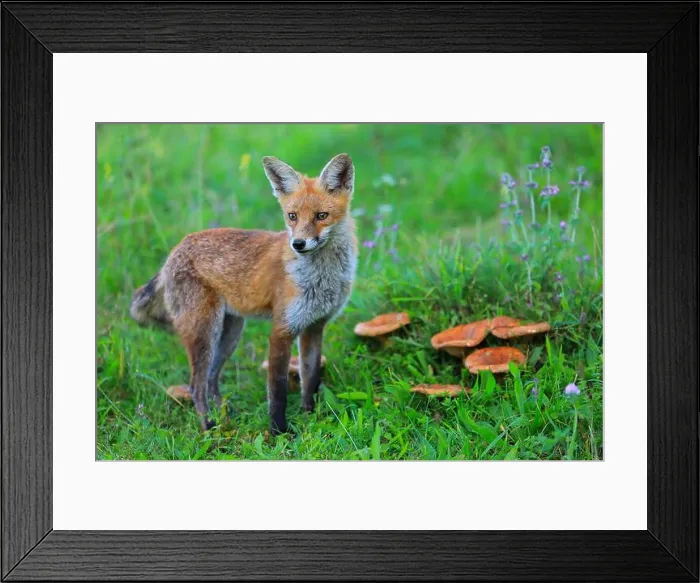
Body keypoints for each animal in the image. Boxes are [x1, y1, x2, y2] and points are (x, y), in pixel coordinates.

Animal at [129, 153, 358, 434]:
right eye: (292, 216)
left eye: (321, 215)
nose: (298, 244)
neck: (321, 278)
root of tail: (172, 254)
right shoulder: (282, 329)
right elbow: (278, 390)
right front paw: (279, 432)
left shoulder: (314, 325)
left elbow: (310, 377)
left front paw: (309, 415)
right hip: (205, 332)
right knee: (196, 385)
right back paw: (209, 425)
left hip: (230, 332)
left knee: (211, 379)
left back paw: (225, 415)